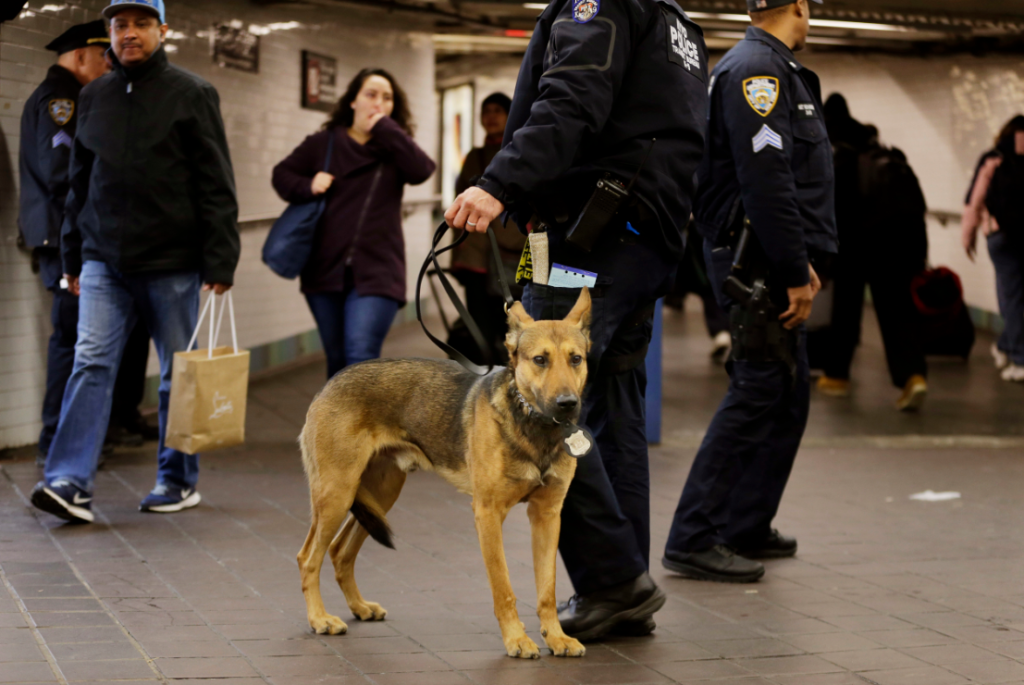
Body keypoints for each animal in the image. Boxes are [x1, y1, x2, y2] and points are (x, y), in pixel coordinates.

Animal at [296, 288, 593, 655]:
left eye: (576, 359)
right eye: (540, 360)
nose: (567, 404)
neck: (534, 426)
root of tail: (331, 381)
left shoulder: (547, 515)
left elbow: (546, 590)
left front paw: (555, 637)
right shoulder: (488, 514)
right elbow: (503, 588)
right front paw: (517, 639)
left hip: (378, 494)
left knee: (339, 551)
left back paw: (360, 607)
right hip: (337, 494)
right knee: (308, 557)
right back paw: (319, 619)